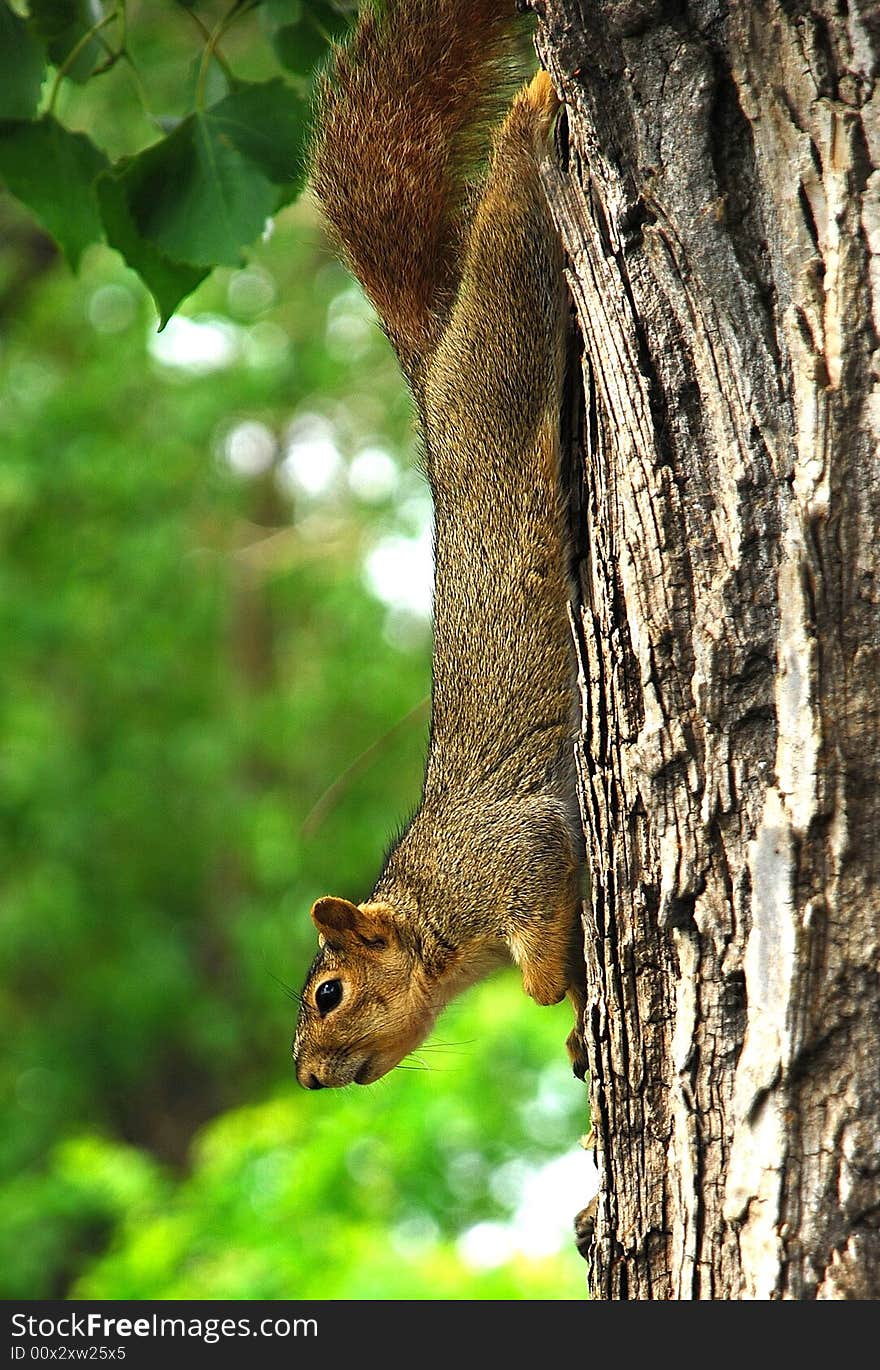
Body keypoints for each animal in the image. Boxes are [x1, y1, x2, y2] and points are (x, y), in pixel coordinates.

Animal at [290, 0, 586, 1090]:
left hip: (504, 346)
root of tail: (429, 372)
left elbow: (537, 933)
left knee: (509, 223)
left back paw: (533, 108)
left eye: (328, 995)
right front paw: (578, 1024)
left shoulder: (509, 852)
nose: (307, 1075)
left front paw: (552, 990)